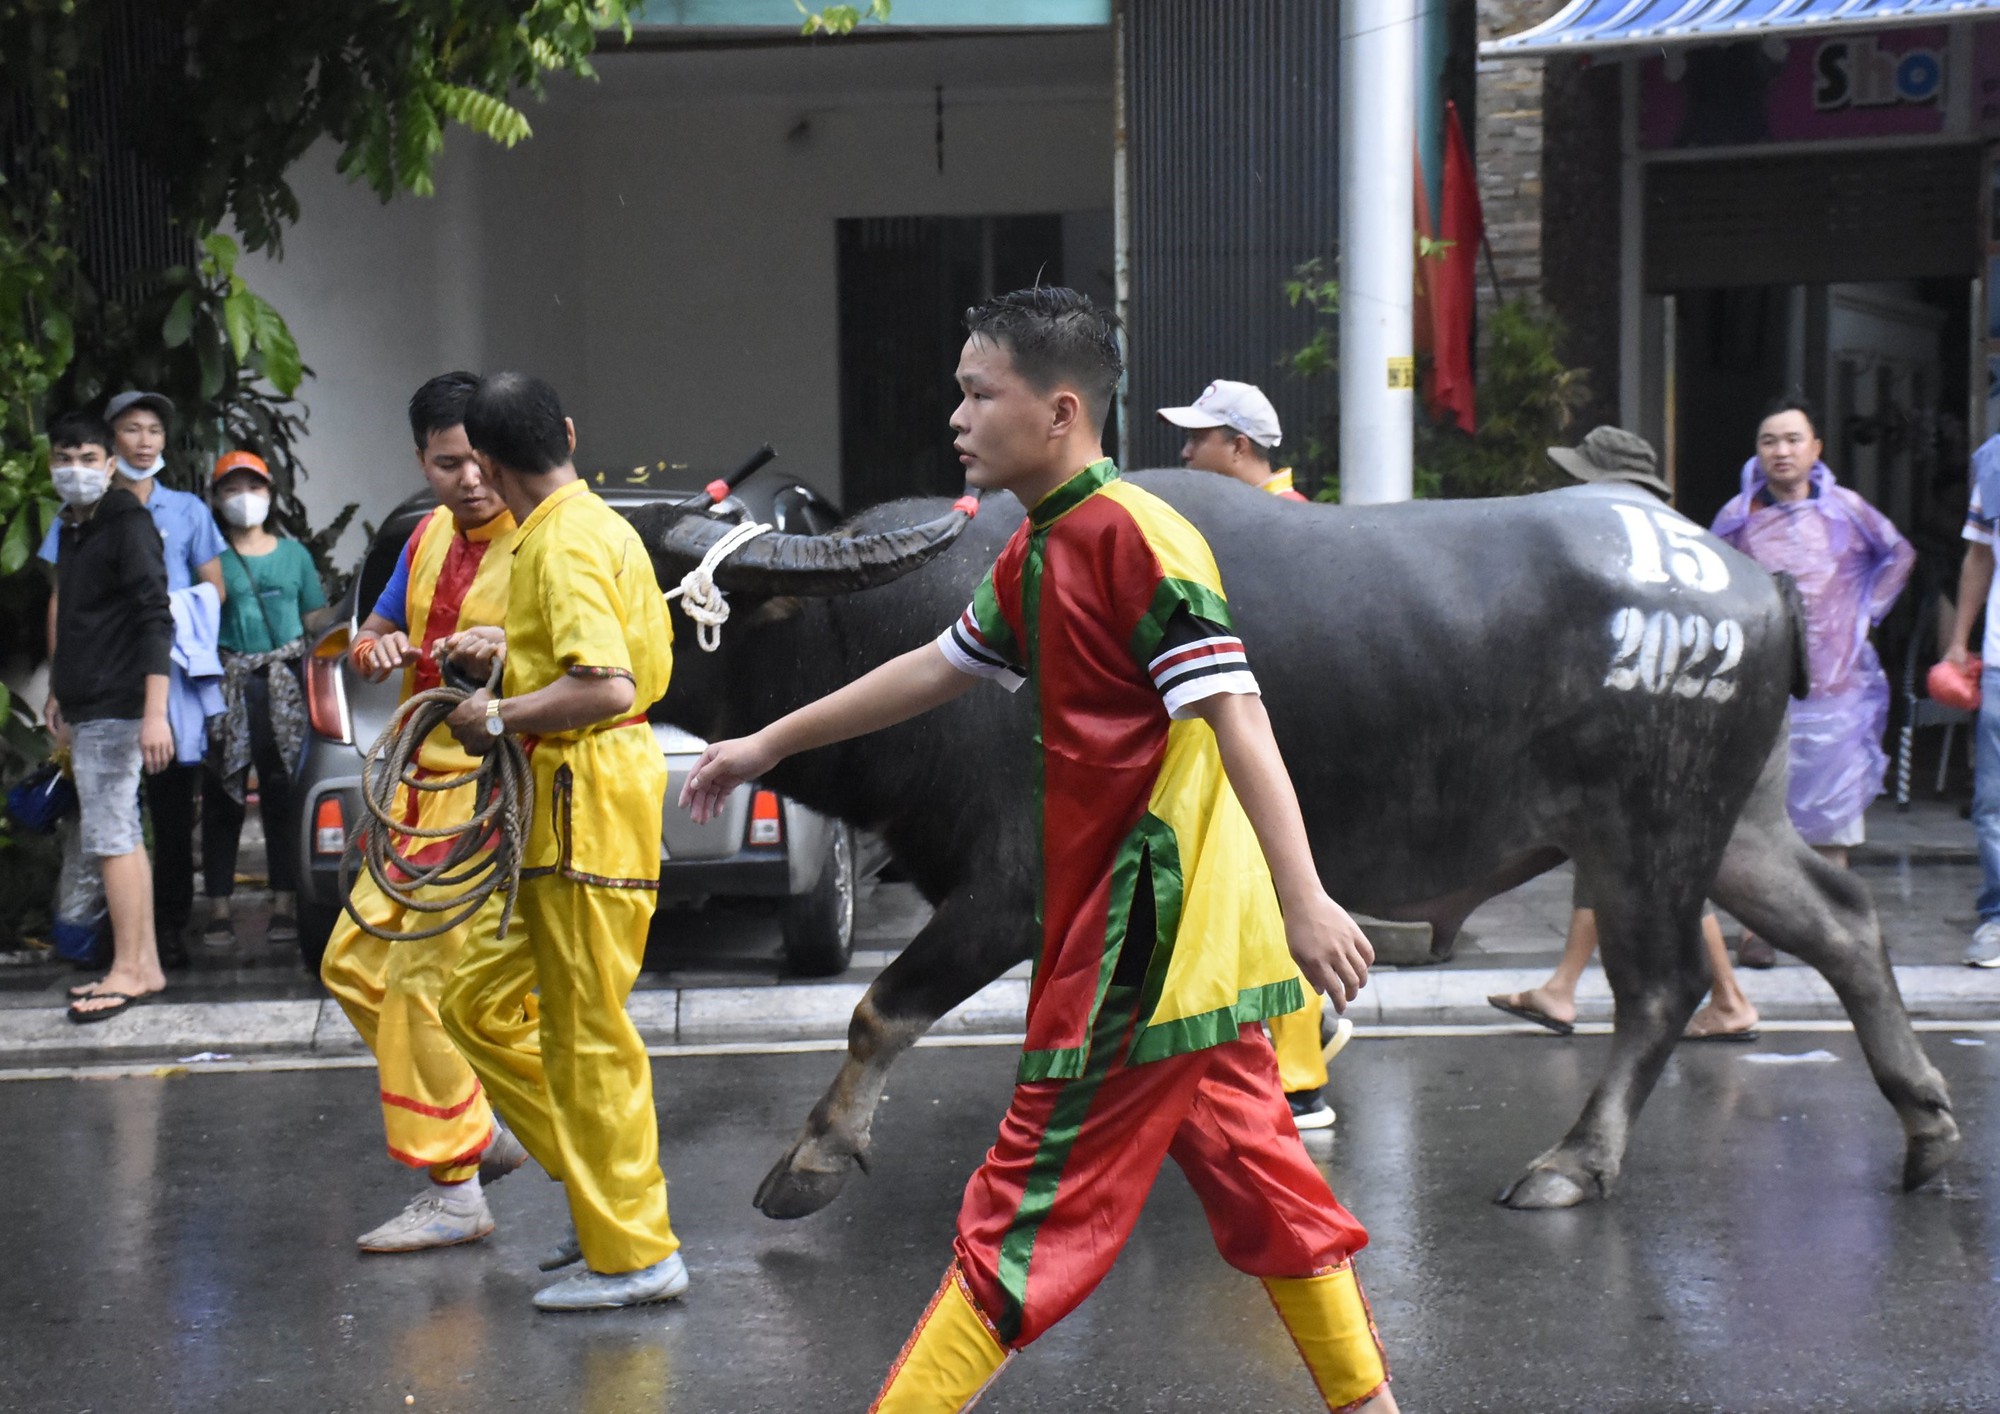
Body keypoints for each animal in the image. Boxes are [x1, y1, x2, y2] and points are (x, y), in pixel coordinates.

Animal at [632, 472, 1960, 1216]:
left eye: (650, 576)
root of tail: (1739, 575)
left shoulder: (1010, 892)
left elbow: (880, 1009)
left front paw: (812, 1159)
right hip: (1731, 825)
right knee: (1844, 924)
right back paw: (1925, 1126)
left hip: (1648, 832)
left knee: (1662, 988)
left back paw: (1572, 1163)